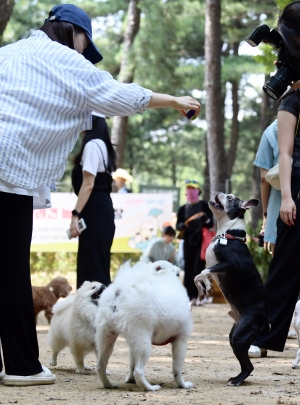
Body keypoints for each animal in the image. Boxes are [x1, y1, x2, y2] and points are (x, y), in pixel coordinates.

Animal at [95, 260, 192, 390]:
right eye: (171, 266)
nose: (179, 269)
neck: (163, 278)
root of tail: (119, 293)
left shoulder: (132, 346)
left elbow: (131, 365)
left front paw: (130, 380)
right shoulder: (181, 340)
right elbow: (177, 369)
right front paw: (183, 385)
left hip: (106, 338)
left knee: (100, 367)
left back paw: (109, 385)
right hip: (143, 342)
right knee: (139, 371)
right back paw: (150, 388)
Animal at [195, 191, 270, 386]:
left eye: (230, 198)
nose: (219, 193)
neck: (227, 234)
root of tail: (265, 322)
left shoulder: (229, 263)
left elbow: (202, 272)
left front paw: (204, 286)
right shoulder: (214, 267)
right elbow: (200, 275)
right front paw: (204, 288)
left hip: (239, 337)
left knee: (249, 366)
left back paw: (237, 381)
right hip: (235, 335)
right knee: (245, 364)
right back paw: (236, 378)